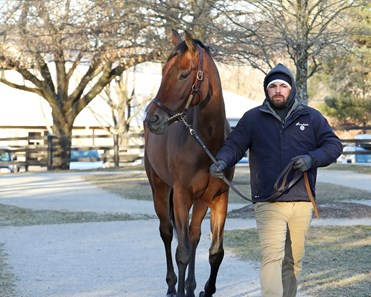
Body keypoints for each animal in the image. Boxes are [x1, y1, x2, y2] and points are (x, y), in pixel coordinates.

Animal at [144, 29, 234, 296]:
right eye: (163, 71)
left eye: (184, 74)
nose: (152, 118)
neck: (207, 143)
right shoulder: (182, 196)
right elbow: (181, 251)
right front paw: (182, 289)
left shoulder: (219, 197)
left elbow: (215, 252)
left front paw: (205, 289)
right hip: (161, 190)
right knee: (167, 233)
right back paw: (173, 286)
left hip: (200, 200)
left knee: (193, 236)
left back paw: (190, 287)